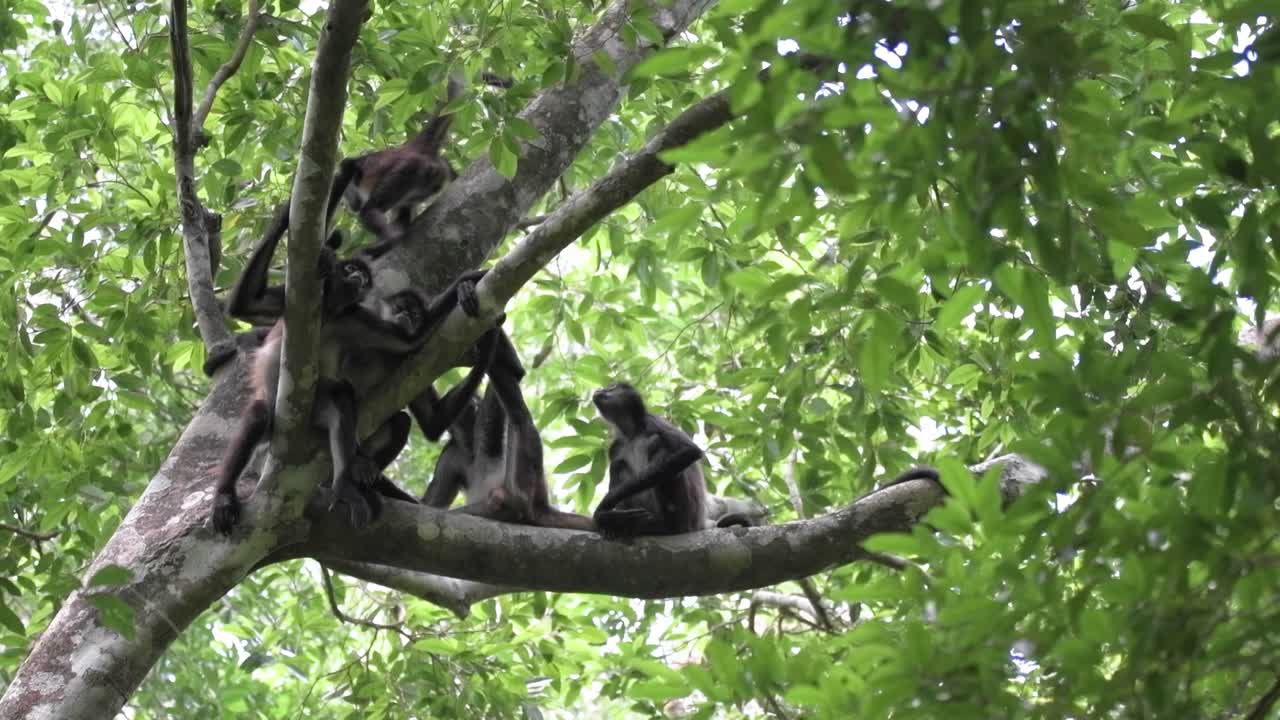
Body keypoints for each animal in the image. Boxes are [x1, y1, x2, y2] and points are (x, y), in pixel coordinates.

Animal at [590, 382, 710, 537]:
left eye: (612, 387)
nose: (599, 390)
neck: (632, 434)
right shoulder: (616, 445)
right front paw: (609, 519)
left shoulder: (653, 421)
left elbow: (689, 451)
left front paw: (605, 505)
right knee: (618, 465)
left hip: (686, 516)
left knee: (658, 444)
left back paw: (666, 526)